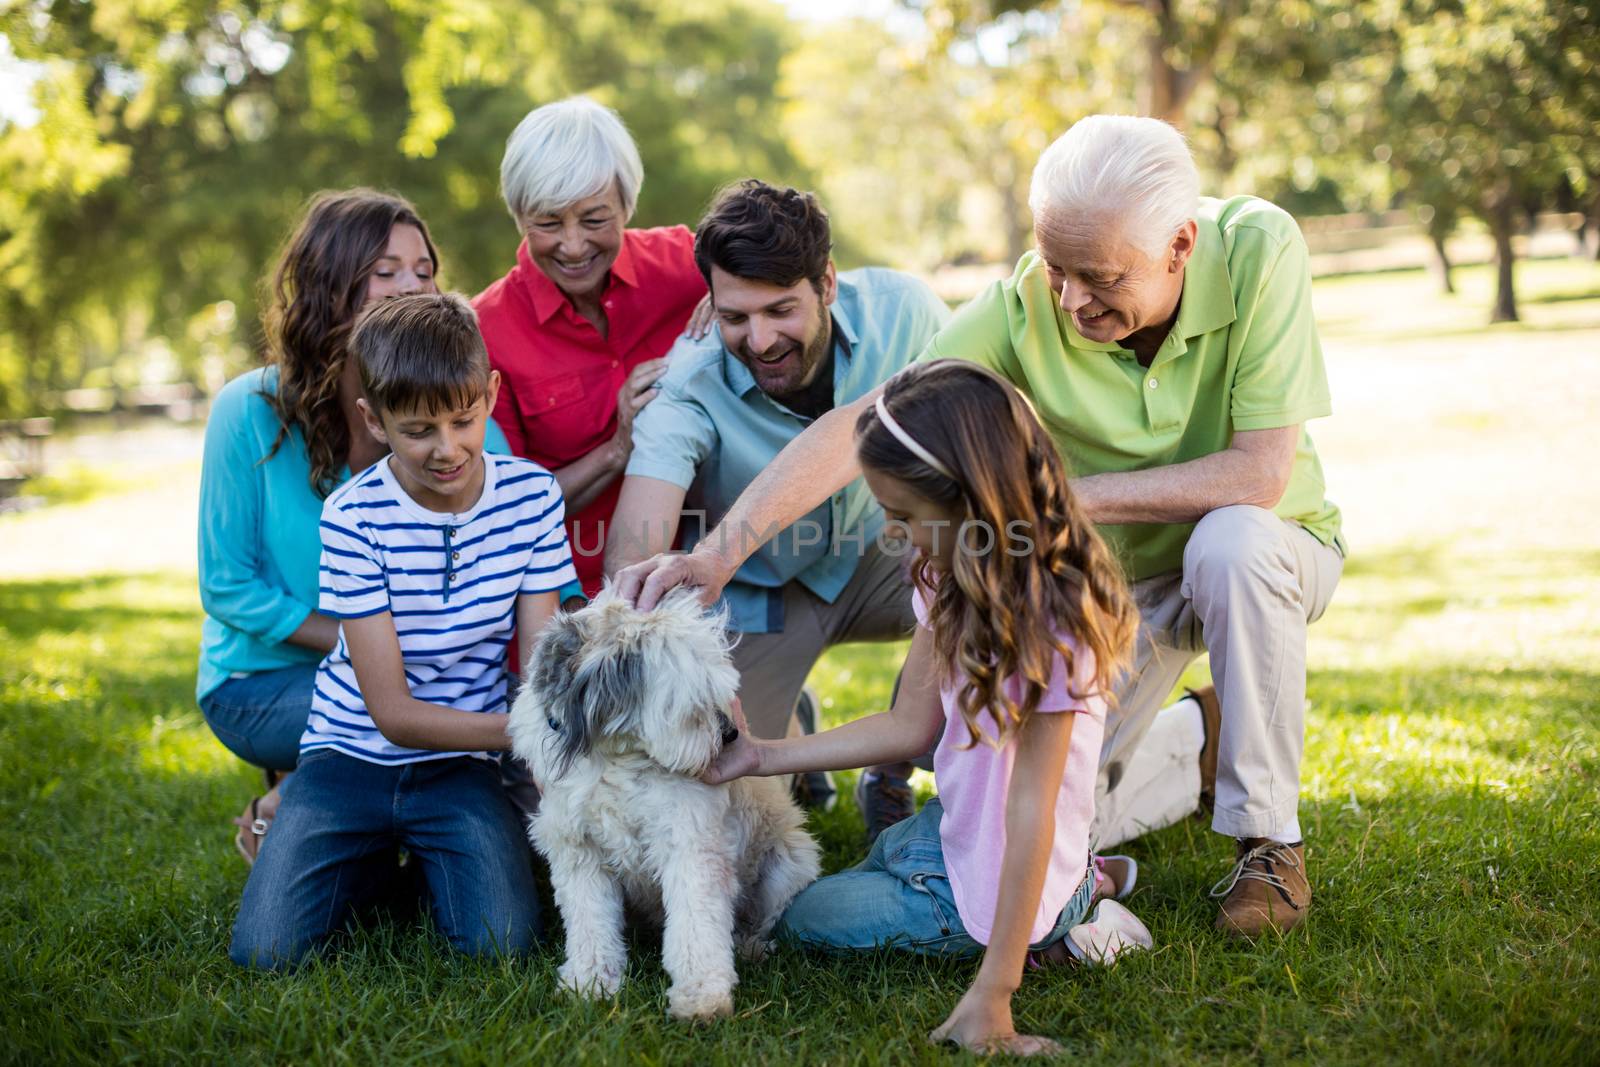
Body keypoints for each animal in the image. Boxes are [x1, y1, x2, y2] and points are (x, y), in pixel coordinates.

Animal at [505, 588, 819, 1023]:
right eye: (694, 706)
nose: (731, 734)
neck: (615, 757)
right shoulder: (578, 851)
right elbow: (590, 925)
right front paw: (590, 984)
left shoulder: (690, 846)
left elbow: (697, 928)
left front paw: (702, 997)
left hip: (789, 864)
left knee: (756, 920)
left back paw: (750, 947)